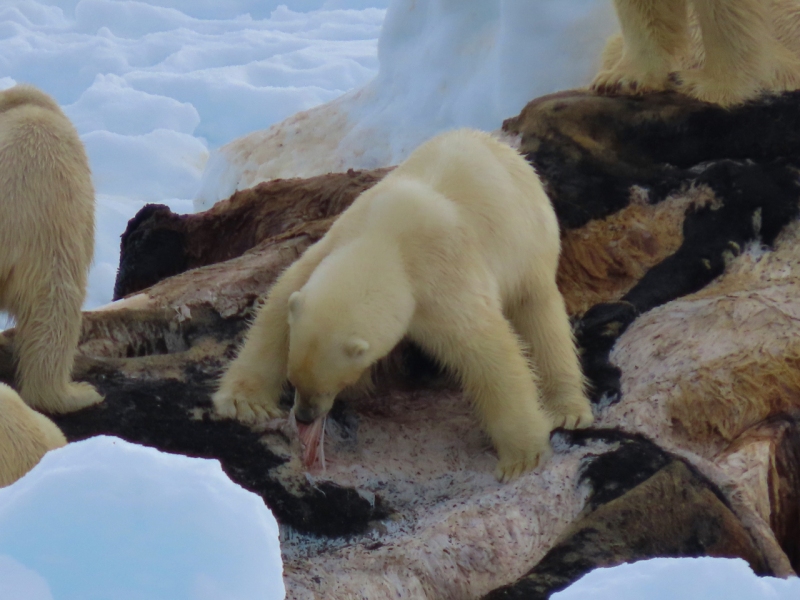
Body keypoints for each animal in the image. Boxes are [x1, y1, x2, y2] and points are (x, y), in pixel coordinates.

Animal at [212, 129, 592, 480]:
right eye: (292, 379)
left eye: (329, 386)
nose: (305, 415)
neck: (387, 238)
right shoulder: (336, 240)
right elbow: (279, 301)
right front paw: (245, 402)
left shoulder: (440, 281)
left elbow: (489, 351)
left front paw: (521, 457)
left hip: (530, 241)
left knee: (540, 317)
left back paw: (565, 408)